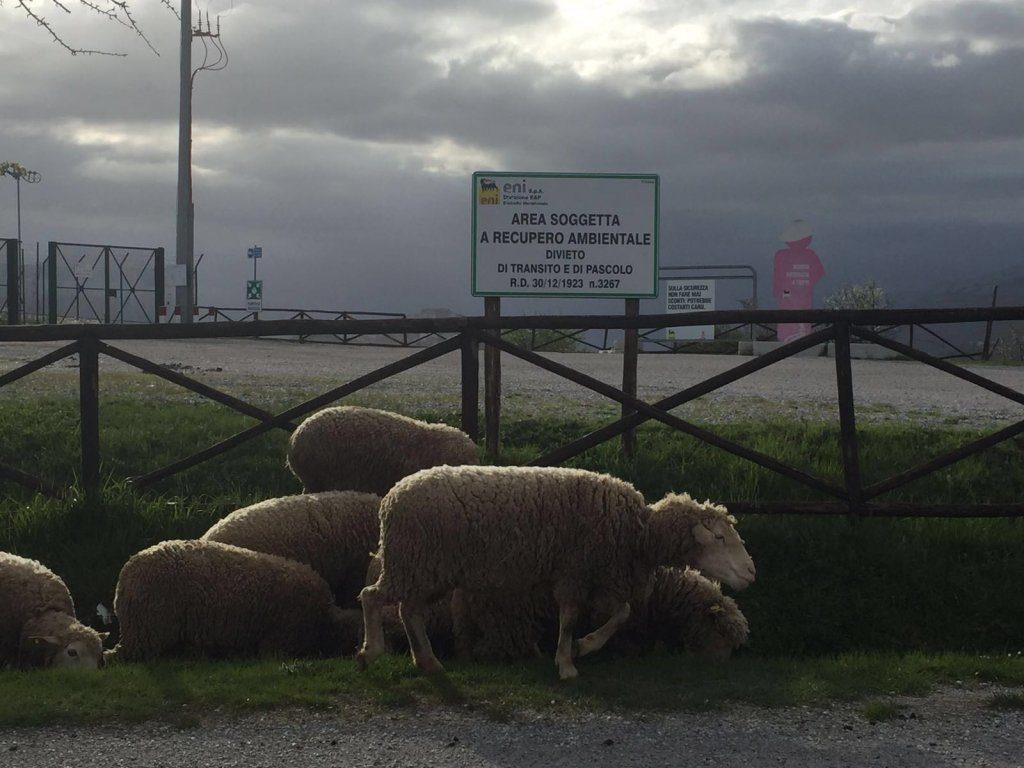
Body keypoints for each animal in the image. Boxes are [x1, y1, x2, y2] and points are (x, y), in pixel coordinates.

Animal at [358, 466, 753, 684]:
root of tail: (390, 498)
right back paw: (371, 651)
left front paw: (583, 647)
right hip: (413, 563)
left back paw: (428, 663)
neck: (638, 532)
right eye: (720, 537)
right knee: (371, 597)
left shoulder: (598, 575)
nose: (751, 572)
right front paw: (566, 662)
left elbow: (621, 613)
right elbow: (569, 618)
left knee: (409, 611)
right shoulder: (574, 572)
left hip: (427, 570)